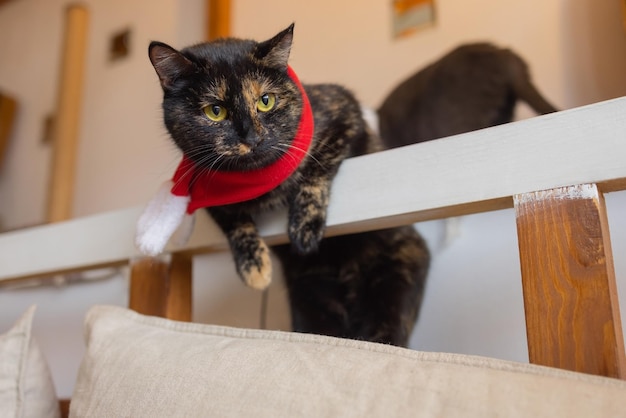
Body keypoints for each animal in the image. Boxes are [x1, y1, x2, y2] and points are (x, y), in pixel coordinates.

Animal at [149, 24, 426, 348]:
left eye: (265, 100)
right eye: (215, 111)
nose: (252, 137)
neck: (260, 184)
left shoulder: (345, 111)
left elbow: (317, 166)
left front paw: (304, 227)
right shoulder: (200, 178)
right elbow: (230, 217)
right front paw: (254, 267)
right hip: (308, 301)